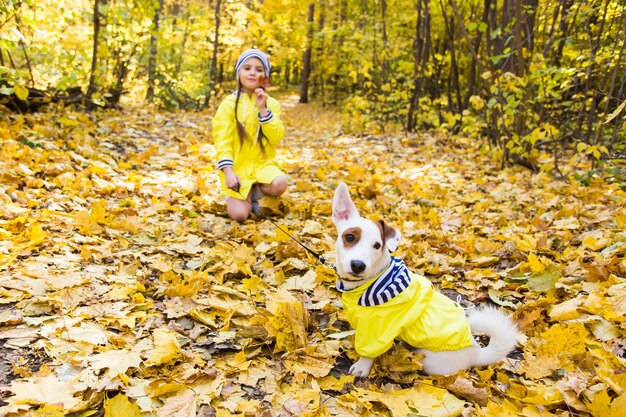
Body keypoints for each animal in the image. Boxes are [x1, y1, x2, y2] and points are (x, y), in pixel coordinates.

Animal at [332, 180, 516, 376]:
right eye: (349, 236)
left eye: (377, 245)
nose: (358, 265)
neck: (369, 281)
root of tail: (475, 353)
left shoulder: (376, 331)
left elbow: (368, 352)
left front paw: (362, 367)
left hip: (428, 360)